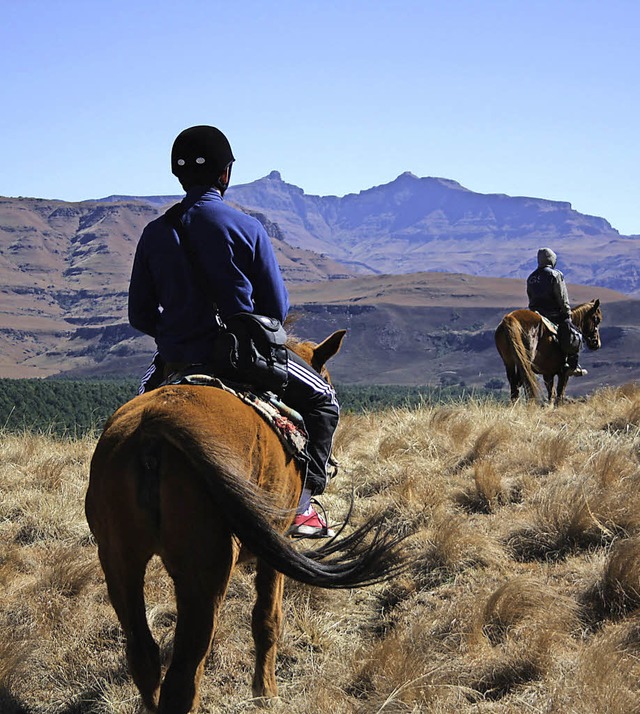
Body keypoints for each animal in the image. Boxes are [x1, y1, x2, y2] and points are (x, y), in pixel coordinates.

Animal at [85, 330, 408, 712]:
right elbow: (267, 619)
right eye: (326, 380)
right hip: (204, 571)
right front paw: (265, 692)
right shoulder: (277, 547)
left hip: (119, 562)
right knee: (184, 676)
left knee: (143, 657)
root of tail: (153, 428)